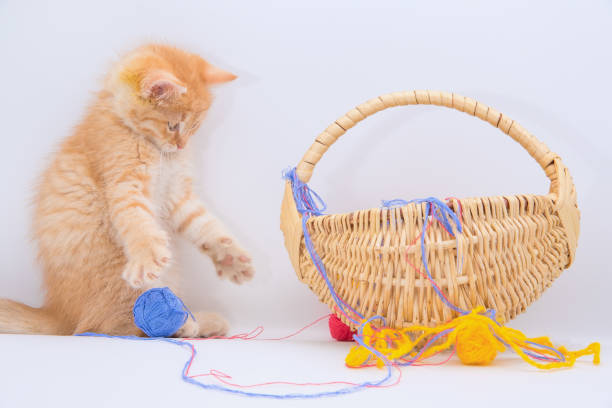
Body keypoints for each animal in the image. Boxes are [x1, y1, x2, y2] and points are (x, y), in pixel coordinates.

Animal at [0, 43, 253, 338]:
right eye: (173, 125)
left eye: (194, 128)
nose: (181, 146)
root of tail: (60, 313)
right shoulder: (123, 180)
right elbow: (136, 219)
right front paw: (146, 256)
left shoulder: (176, 195)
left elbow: (203, 223)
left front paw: (231, 258)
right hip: (115, 277)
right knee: (119, 325)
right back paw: (190, 323)